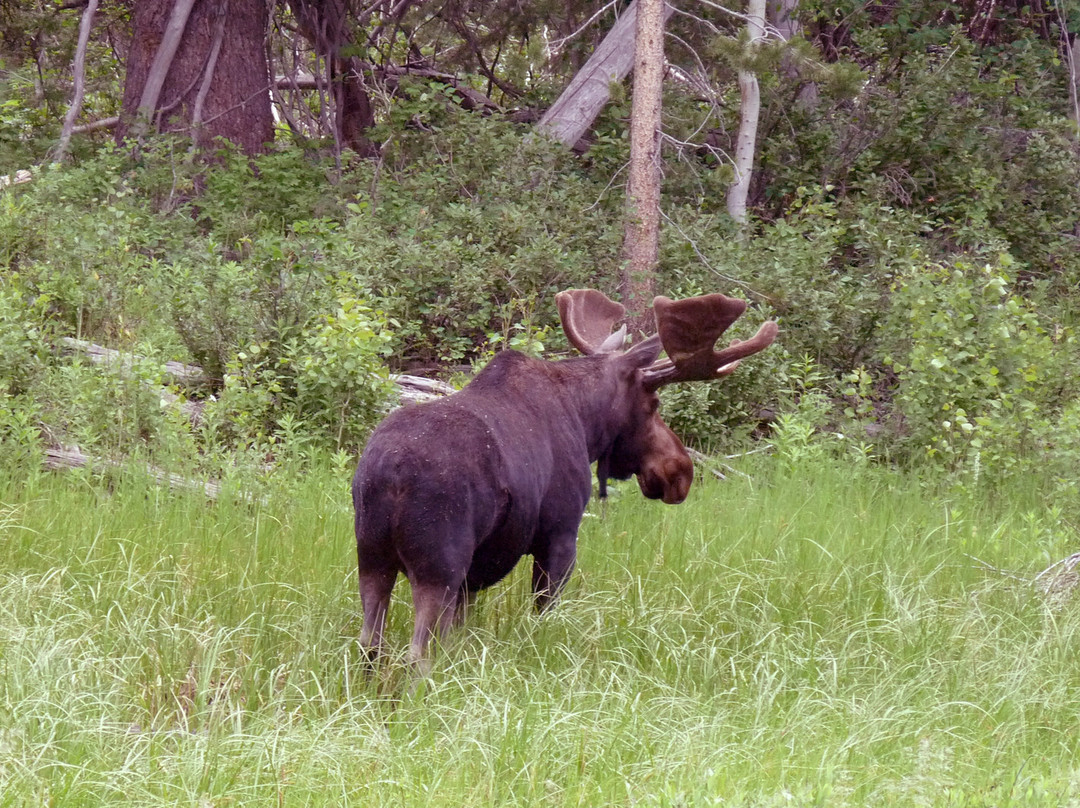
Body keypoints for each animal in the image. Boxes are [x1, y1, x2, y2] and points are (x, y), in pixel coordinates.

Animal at [352, 287, 777, 665]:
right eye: (652, 403)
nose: (680, 471)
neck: (586, 424)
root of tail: (390, 476)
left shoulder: (475, 573)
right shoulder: (559, 536)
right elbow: (543, 615)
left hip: (372, 558)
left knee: (370, 645)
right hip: (440, 564)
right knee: (417, 656)